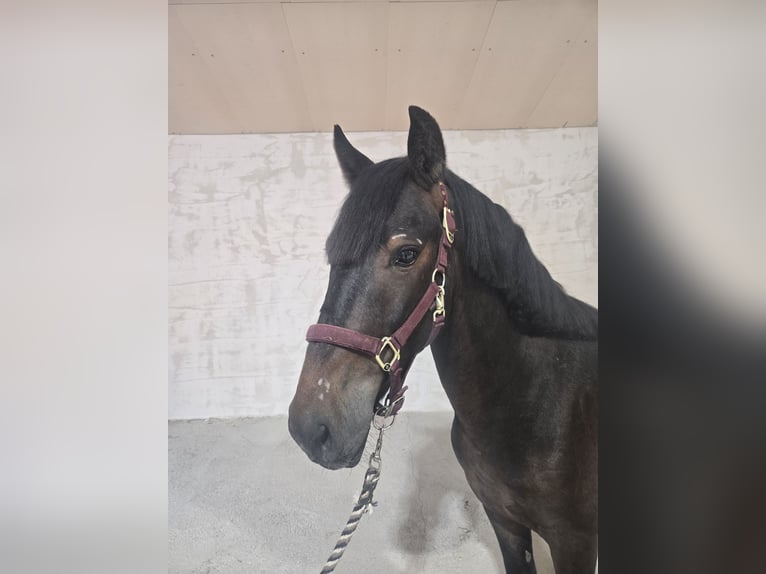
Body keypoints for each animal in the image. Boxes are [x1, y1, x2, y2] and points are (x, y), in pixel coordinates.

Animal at [288, 106, 598, 573]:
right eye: (332, 256)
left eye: (406, 254)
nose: (311, 428)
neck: (533, 402)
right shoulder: (504, 522)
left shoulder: (575, 543)